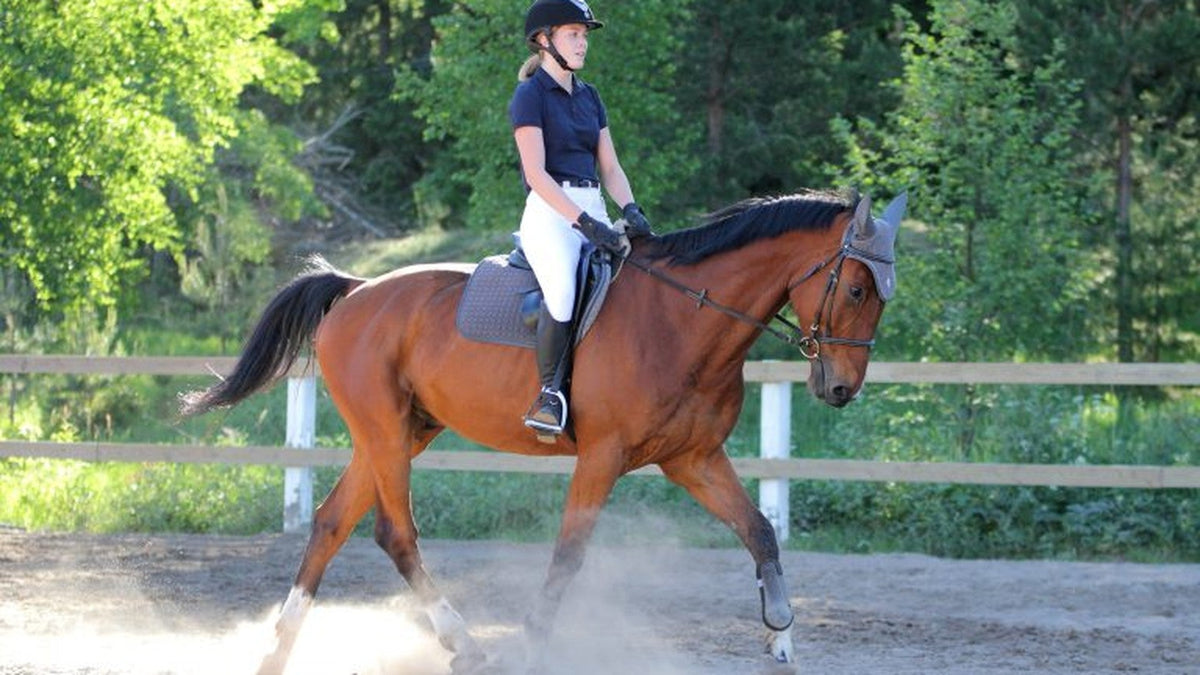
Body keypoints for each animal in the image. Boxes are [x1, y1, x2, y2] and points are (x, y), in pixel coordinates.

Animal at [180, 189, 905, 673]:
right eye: (858, 289)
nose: (840, 389)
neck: (684, 321)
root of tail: (357, 288)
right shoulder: (603, 457)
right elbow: (566, 558)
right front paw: (531, 646)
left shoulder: (693, 458)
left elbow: (758, 530)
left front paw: (781, 635)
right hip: (385, 432)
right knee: (395, 532)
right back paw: (466, 645)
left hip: (402, 432)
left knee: (333, 522)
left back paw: (278, 651)